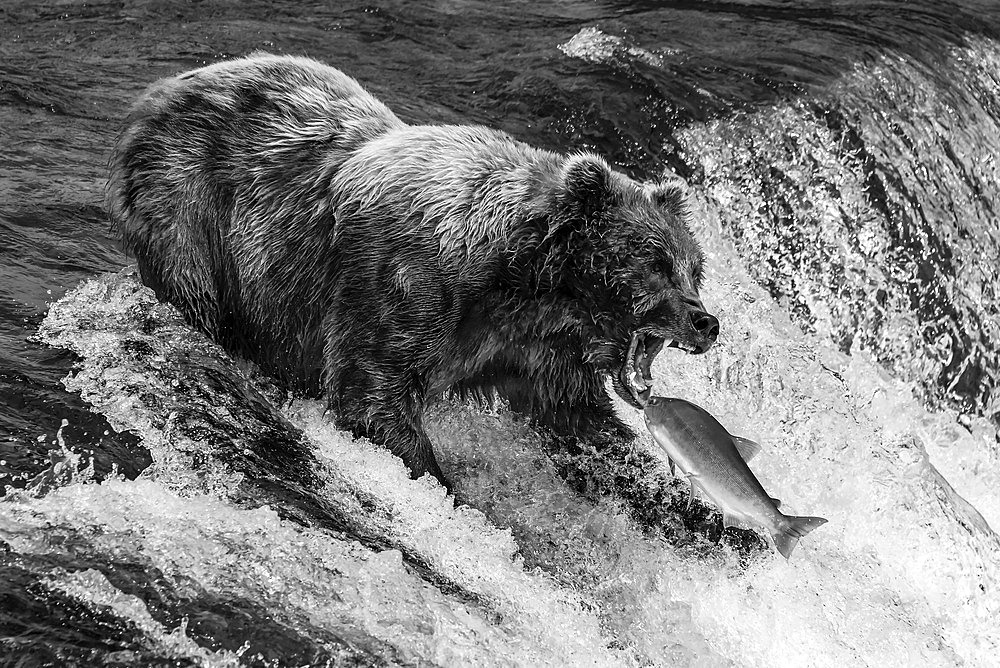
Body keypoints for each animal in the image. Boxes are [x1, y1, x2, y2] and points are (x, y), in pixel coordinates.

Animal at [107, 54, 720, 488]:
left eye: (695, 269)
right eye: (655, 263)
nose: (707, 323)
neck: (522, 279)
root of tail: (159, 89)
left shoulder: (531, 346)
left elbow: (583, 422)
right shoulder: (404, 281)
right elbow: (371, 391)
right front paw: (446, 488)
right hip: (190, 199)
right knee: (196, 293)